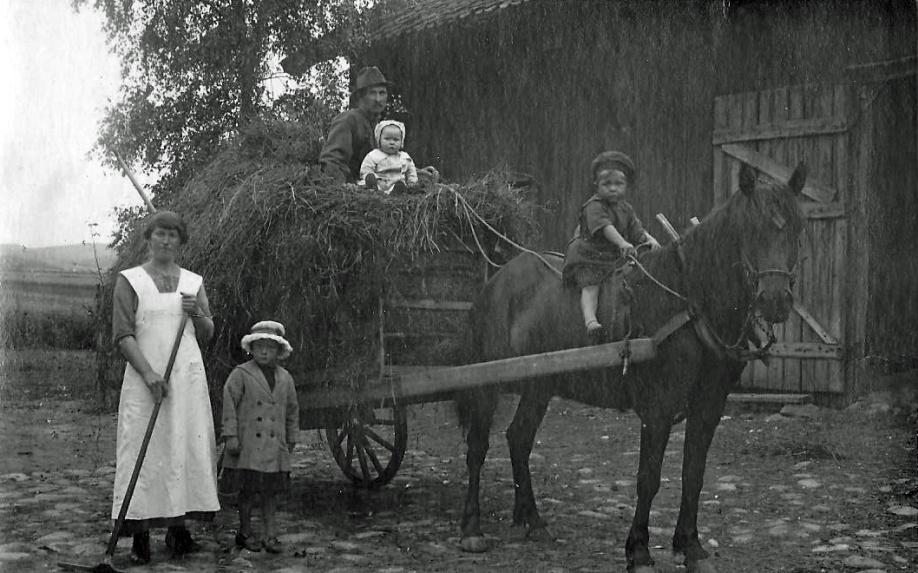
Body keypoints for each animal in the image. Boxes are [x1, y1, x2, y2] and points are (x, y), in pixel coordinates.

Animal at [456, 162, 808, 572]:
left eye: (797, 227)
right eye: (751, 228)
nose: (775, 300)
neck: (688, 303)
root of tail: (498, 280)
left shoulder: (709, 405)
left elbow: (693, 474)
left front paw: (691, 545)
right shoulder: (658, 408)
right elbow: (648, 478)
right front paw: (638, 550)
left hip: (538, 384)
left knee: (519, 439)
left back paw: (532, 520)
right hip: (486, 383)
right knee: (477, 447)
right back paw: (472, 529)